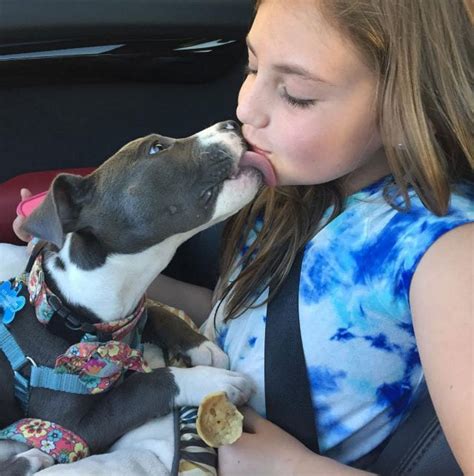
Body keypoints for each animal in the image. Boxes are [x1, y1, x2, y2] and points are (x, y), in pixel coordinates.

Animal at [0, 121, 262, 474]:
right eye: (156, 148)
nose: (232, 124)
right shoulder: (71, 425)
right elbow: (146, 385)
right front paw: (212, 381)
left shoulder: (134, 315)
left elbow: (157, 313)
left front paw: (203, 348)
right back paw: (33, 456)